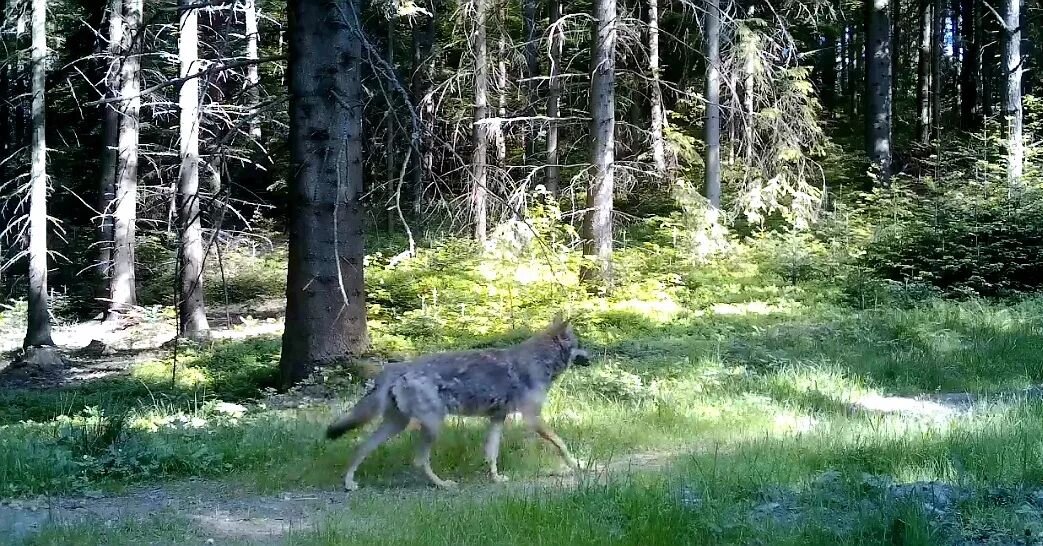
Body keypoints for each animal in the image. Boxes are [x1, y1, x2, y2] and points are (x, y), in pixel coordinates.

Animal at [325, 315, 592, 490]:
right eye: (579, 345)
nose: (591, 357)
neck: (540, 361)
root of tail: (395, 368)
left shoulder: (498, 418)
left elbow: (492, 453)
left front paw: (496, 479)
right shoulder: (532, 418)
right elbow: (561, 444)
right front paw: (579, 464)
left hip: (396, 425)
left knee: (361, 447)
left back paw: (349, 483)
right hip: (432, 425)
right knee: (418, 460)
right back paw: (443, 484)